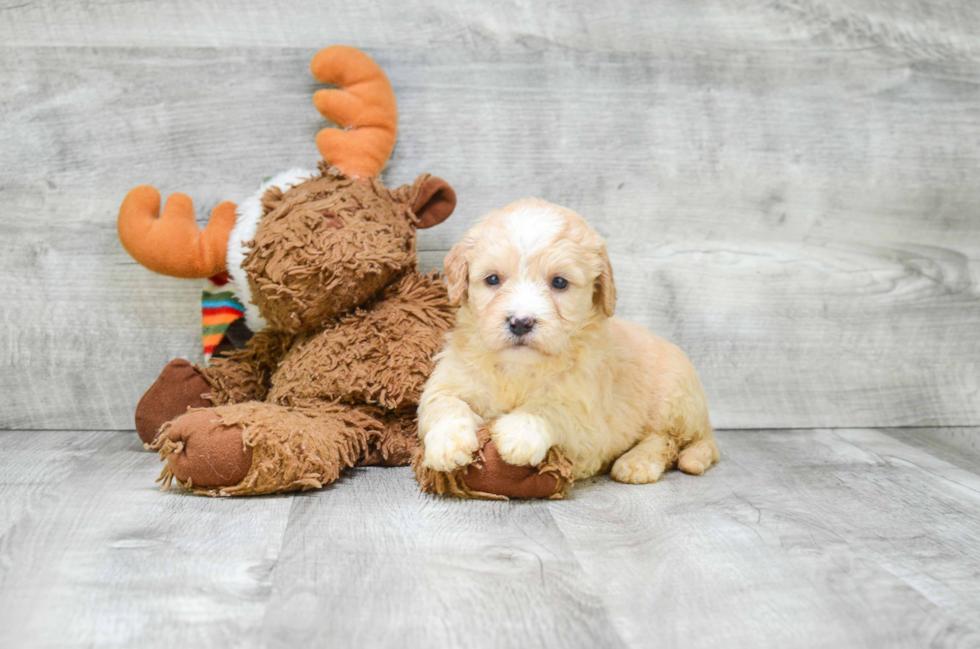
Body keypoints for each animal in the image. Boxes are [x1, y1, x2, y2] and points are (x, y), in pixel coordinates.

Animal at [418, 200, 716, 484]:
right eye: (493, 279)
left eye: (559, 282)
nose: (521, 322)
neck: (518, 368)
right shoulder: (448, 380)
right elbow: (444, 404)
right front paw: (448, 443)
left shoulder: (589, 425)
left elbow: (552, 408)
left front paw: (519, 432)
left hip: (675, 396)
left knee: (671, 440)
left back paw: (638, 462)